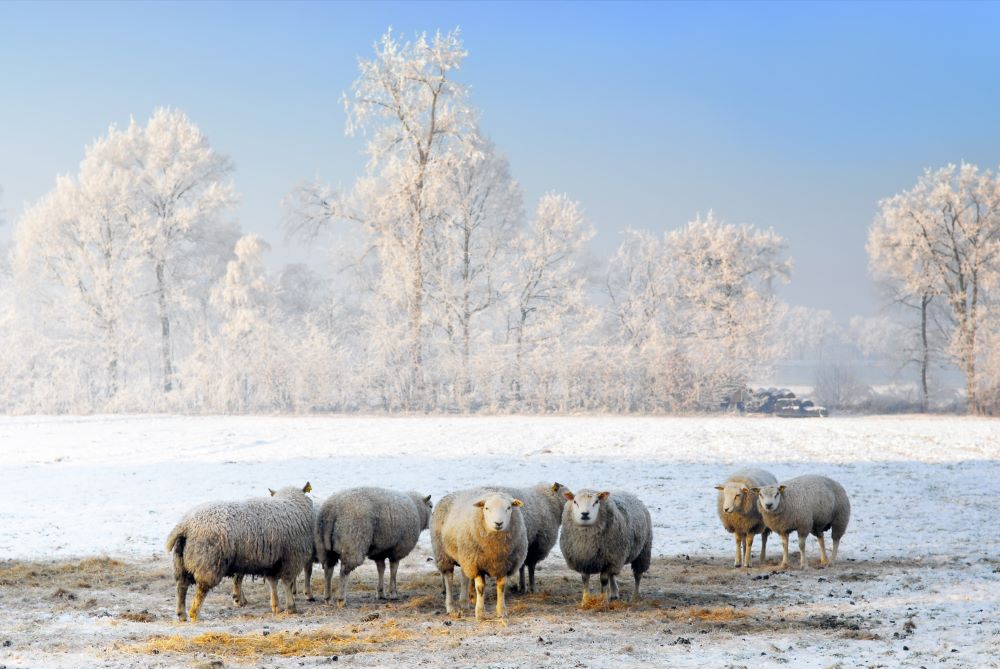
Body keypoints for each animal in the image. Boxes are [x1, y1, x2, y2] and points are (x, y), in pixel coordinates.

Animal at [432, 486, 532, 620]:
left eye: (508, 508)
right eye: (486, 508)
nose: (498, 523)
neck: (495, 549)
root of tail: (448, 495)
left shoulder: (503, 565)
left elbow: (501, 587)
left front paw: (501, 612)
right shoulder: (477, 564)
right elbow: (480, 588)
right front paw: (480, 613)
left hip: (465, 556)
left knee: (464, 577)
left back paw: (464, 603)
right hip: (444, 554)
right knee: (449, 579)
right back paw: (451, 607)